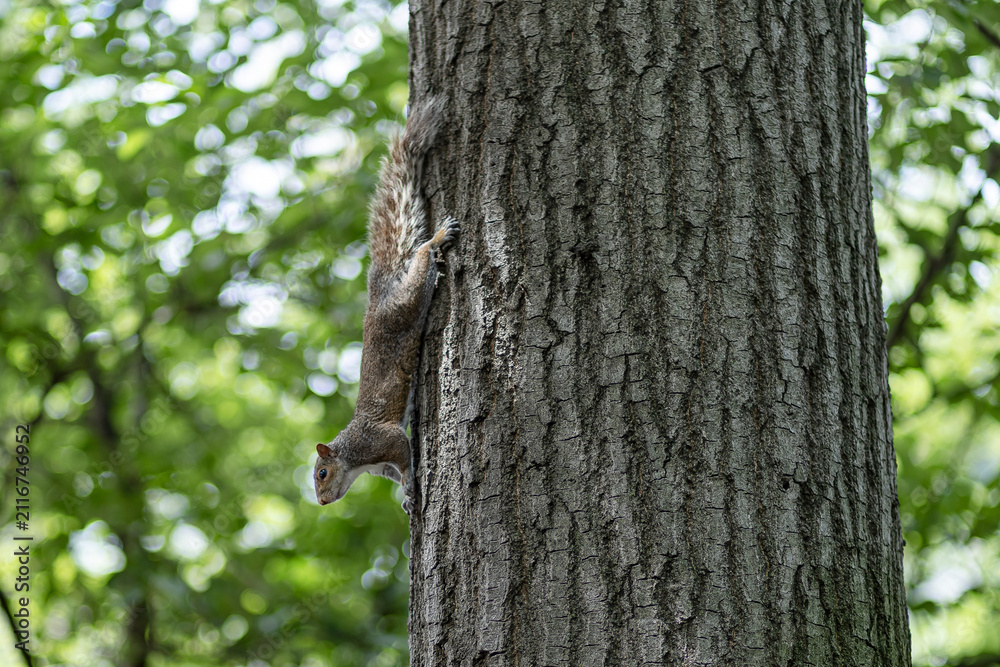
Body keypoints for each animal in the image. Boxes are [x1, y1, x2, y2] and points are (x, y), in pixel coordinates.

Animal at [314, 97, 457, 515]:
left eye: (322, 473)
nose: (322, 502)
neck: (353, 457)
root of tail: (376, 301)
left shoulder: (380, 440)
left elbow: (404, 455)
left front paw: (411, 486)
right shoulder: (380, 464)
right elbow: (395, 473)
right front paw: (405, 499)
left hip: (403, 307)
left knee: (422, 261)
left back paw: (437, 239)